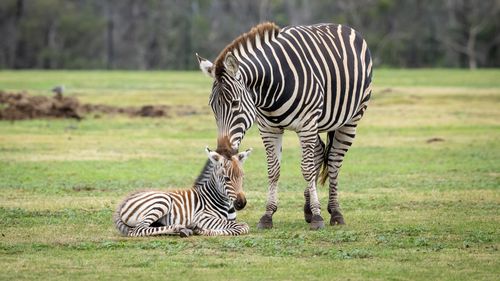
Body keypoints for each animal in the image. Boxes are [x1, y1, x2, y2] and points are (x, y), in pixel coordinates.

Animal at [114, 147, 252, 236]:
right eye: (227, 178)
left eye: (242, 176)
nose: (242, 203)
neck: (212, 197)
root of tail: (124, 201)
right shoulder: (202, 217)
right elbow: (243, 227)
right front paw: (203, 230)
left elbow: (240, 226)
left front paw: (201, 230)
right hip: (162, 201)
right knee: (137, 230)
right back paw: (180, 228)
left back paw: (182, 230)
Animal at [197, 22, 374, 230]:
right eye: (212, 107)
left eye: (234, 103)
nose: (223, 151)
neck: (270, 88)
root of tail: (342, 26)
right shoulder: (269, 129)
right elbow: (273, 171)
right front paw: (268, 215)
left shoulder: (307, 124)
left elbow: (306, 169)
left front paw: (317, 216)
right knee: (319, 152)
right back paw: (308, 208)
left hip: (351, 119)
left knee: (334, 162)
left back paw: (335, 212)